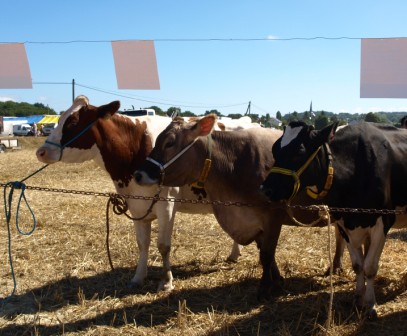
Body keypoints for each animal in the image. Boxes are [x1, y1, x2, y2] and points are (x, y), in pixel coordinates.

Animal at [35, 96, 245, 292]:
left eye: (72, 122)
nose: (41, 152)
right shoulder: (136, 204)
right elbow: (142, 243)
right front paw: (138, 277)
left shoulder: (167, 204)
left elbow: (163, 245)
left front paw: (166, 281)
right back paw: (234, 255)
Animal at [262, 121, 407, 318]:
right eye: (274, 148)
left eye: (299, 150)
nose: (265, 189)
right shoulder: (344, 223)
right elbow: (358, 265)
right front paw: (357, 299)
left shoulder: (382, 221)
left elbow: (370, 267)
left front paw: (370, 305)